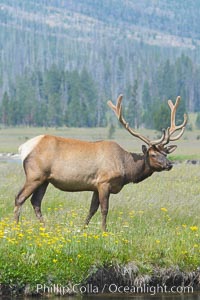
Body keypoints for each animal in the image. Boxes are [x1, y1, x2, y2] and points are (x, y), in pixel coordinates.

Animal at [14, 95, 187, 231]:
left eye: (165, 153)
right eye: (152, 154)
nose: (169, 165)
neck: (126, 169)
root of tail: (24, 147)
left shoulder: (95, 186)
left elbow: (92, 209)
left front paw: (82, 229)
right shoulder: (104, 182)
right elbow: (104, 209)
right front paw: (104, 231)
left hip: (45, 180)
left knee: (36, 202)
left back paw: (45, 227)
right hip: (35, 175)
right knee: (19, 197)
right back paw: (15, 227)